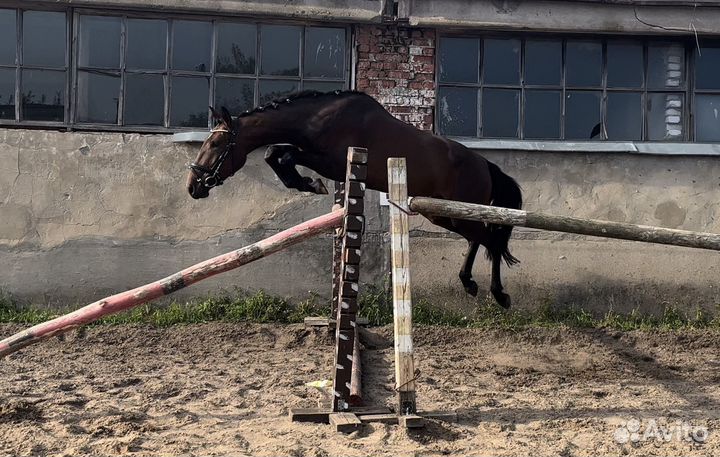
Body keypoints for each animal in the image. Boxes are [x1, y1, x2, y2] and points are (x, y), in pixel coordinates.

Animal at [186, 90, 522, 308]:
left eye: (215, 144)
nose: (194, 186)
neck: (318, 118)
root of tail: (485, 164)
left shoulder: (332, 162)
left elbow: (285, 155)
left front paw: (310, 184)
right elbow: (274, 153)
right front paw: (306, 183)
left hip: (456, 214)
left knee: (491, 242)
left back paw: (499, 294)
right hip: (443, 214)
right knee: (478, 239)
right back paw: (469, 283)